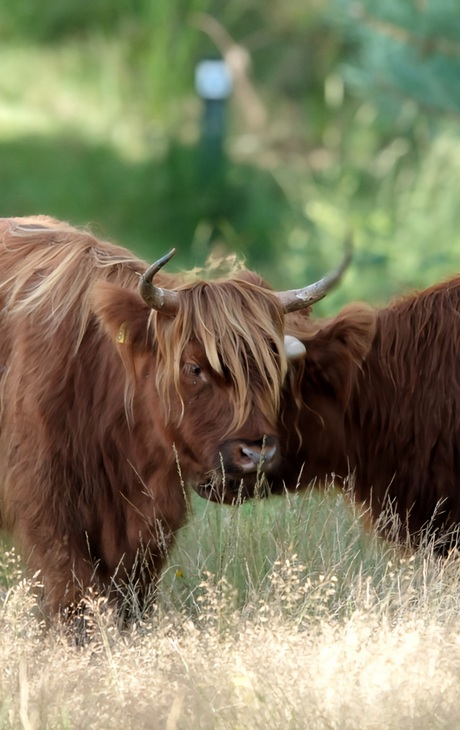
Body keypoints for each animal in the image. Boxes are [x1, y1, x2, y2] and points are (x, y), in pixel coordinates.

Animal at [0, 213, 324, 612]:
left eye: (273, 368)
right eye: (194, 367)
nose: (257, 453)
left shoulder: (152, 519)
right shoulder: (46, 508)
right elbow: (73, 595)